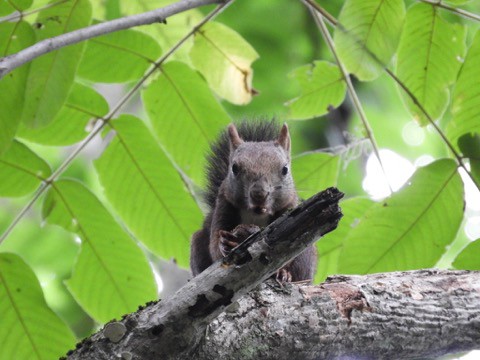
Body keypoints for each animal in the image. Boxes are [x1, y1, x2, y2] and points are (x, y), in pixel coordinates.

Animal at [189, 119, 316, 282]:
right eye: (234, 168)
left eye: (285, 169)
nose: (259, 194)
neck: (256, 215)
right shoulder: (224, 205)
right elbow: (215, 247)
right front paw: (223, 244)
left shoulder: (290, 209)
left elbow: (289, 253)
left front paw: (282, 271)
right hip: (197, 243)